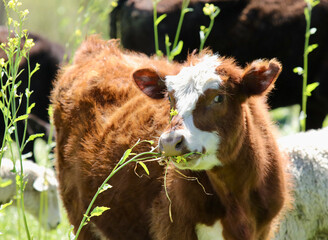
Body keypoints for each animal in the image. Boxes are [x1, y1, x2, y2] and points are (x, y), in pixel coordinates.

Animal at [52, 36, 292, 239]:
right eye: (170, 98)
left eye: (218, 98)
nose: (170, 142)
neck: (236, 196)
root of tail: (99, 49)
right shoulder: (173, 226)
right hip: (79, 214)